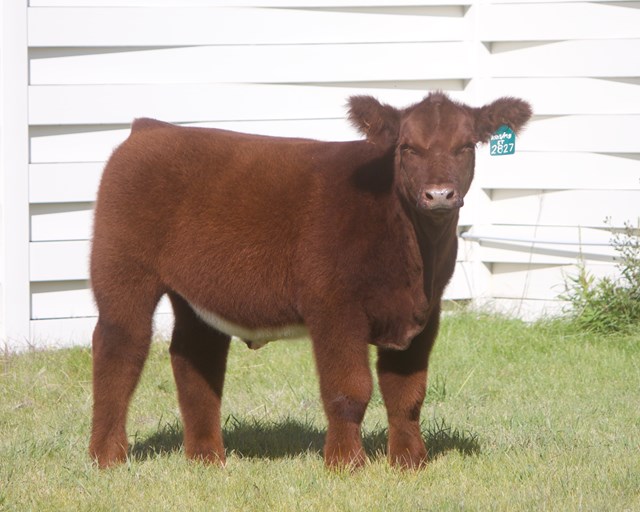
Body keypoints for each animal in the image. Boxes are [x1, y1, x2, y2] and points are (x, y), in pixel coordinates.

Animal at [89, 92, 532, 470]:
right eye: (407, 147)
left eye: (466, 146)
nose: (439, 195)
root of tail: (152, 128)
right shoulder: (334, 306)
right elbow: (349, 389)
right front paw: (346, 464)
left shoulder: (426, 312)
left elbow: (406, 393)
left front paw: (409, 462)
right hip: (122, 270)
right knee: (119, 347)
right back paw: (107, 457)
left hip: (196, 294)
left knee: (194, 357)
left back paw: (207, 458)